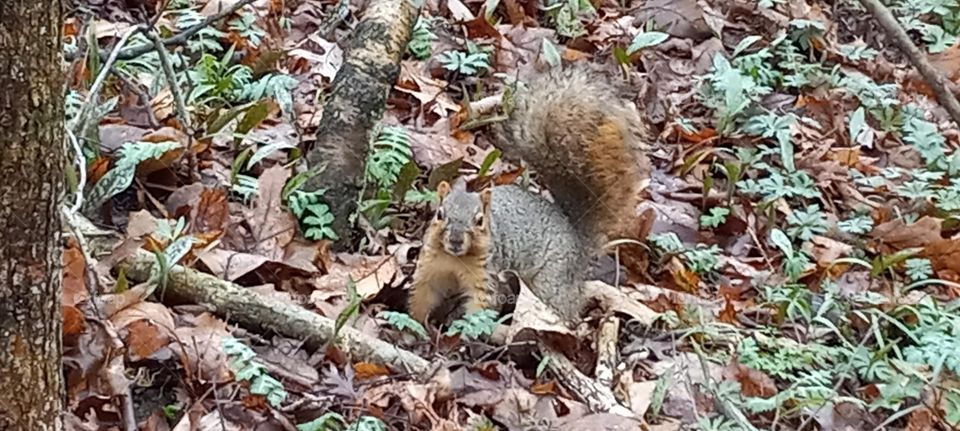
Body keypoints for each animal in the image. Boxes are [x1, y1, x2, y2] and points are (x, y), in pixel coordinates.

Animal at [407, 64, 651, 327]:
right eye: (439, 214)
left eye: (480, 220)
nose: (454, 240)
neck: (455, 258)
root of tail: (577, 239)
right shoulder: (430, 267)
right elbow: (422, 296)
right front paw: (414, 324)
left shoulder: (487, 275)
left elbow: (481, 308)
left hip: (551, 279)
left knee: (565, 308)